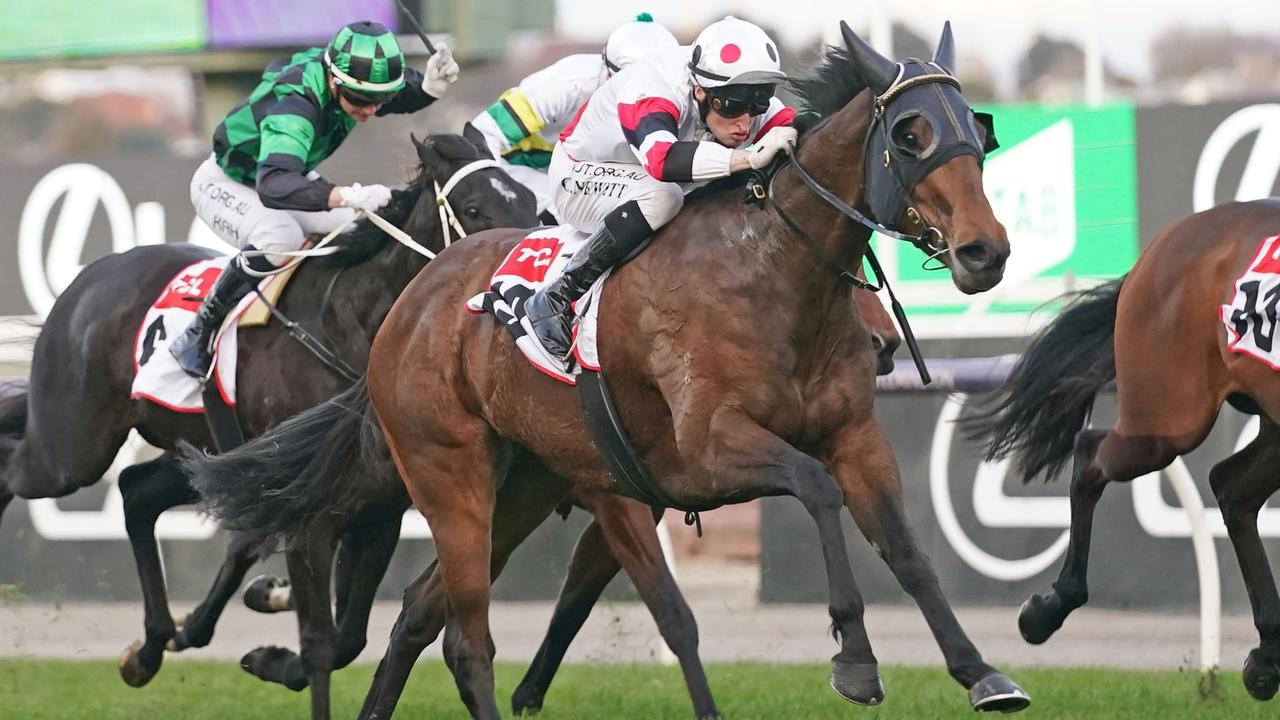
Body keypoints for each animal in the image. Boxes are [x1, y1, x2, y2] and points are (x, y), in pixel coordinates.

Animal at [0, 133, 535, 702]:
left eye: (528, 199)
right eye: (473, 207)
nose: (517, 254)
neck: (346, 318)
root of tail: (94, 274)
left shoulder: (378, 503)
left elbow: (348, 636)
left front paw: (270, 653)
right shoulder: (314, 500)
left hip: (206, 455)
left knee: (135, 490)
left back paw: (152, 647)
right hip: (71, 448)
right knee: (20, 466)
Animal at [192, 23, 1029, 717]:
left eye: (978, 131)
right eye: (912, 133)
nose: (985, 251)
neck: (772, 275)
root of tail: (410, 303)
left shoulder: (854, 435)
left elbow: (908, 552)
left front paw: (982, 673)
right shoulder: (710, 445)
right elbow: (816, 492)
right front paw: (855, 660)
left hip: (522, 488)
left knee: (422, 617)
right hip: (449, 479)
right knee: (466, 637)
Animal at [967, 196, 1280, 696]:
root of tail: (1162, 244)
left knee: (1233, 488)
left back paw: (1268, 654)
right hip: (1164, 420)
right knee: (1090, 453)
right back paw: (1047, 610)